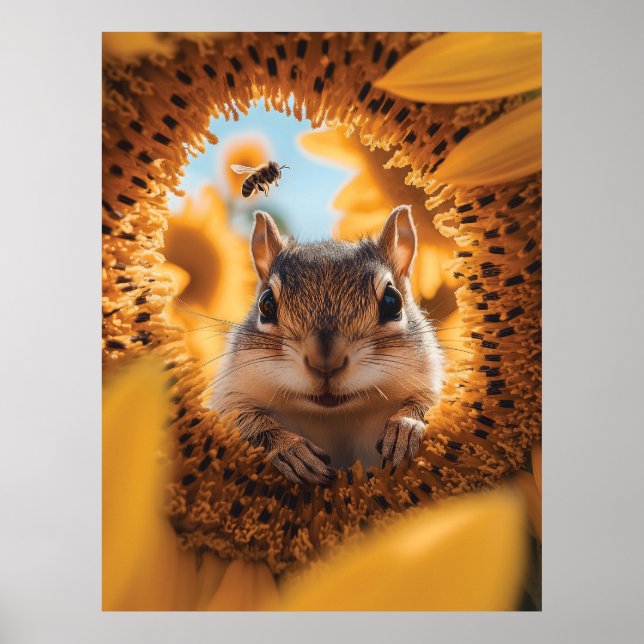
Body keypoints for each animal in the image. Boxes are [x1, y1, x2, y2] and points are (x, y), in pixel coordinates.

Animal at [210, 205, 444, 485]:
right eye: (266, 304)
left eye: (392, 301)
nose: (325, 363)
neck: (334, 415)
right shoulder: (231, 395)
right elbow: (246, 423)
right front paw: (290, 450)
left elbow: (429, 402)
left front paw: (406, 427)